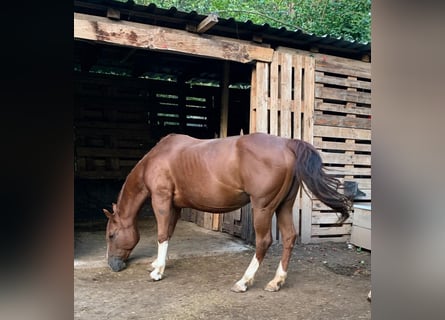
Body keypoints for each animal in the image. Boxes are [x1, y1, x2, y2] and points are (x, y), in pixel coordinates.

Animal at [103, 132, 350, 292]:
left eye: (111, 235)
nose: (112, 265)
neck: (157, 158)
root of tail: (287, 144)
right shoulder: (175, 206)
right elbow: (169, 233)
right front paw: (157, 264)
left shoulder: (161, 200)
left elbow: (162, 234)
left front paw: (158, 272)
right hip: (283, 207)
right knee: (289, 237)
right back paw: (276, 282)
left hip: (263, 207)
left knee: (263, 242)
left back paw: (244, 281)